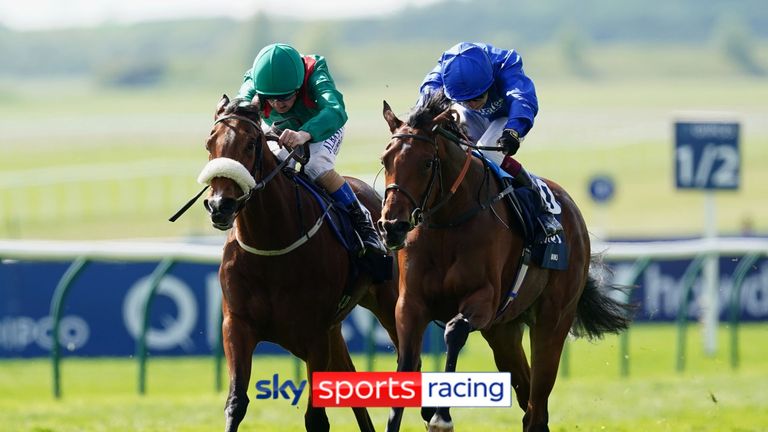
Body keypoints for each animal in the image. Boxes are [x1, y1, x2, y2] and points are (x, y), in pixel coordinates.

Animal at [198, 95, 400, 432]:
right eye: (209, 144)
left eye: (251, 144)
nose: (219, 206)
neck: (272, 246)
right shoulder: (237, 324)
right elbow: (236, 402)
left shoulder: (314, 334)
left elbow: (316, 418)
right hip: (335, 330)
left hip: (388, 302)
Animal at [376, 92, 632, 432]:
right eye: (385, 160)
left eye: (427, 163)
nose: (392, 226)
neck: (448, 222)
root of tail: (573, 212)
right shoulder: (410, 303)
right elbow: (406, 360)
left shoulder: (484, 298)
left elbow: (454, 331)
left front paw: (441, 416)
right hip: (503, 330)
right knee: (529, 400)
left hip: (553, 320)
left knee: (537, 402)